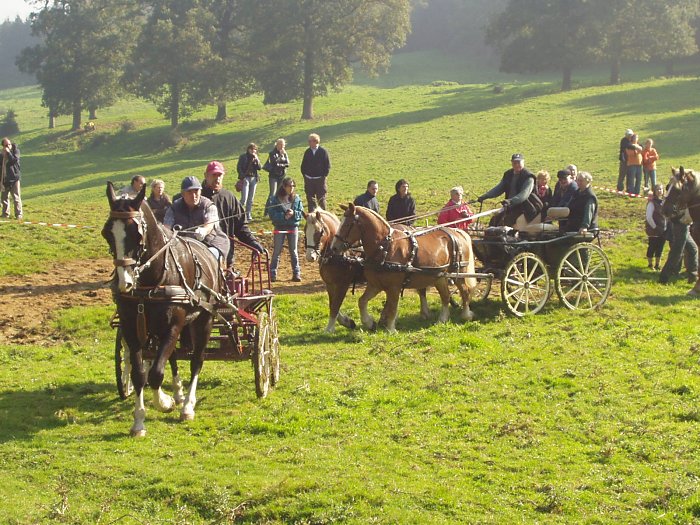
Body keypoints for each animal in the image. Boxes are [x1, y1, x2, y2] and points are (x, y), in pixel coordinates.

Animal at [101, 182, 220, 436]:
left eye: (136, 233)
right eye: (107, 232)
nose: (123, 283)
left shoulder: (173, 325)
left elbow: (156, 373)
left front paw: (165, 403)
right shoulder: (132, 328)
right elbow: (139, 373)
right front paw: (138, 421)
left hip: (203, 319)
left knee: (197, 360)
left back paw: (187, 405)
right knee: (171, 356)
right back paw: (178, 391)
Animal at [330, 204, 478, 332]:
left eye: (347, 225)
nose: (334, 247)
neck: (386, 247)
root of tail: (457, 232)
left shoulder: (394, 287)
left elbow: (393, 307)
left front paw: (390, 329)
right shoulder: (375, 284)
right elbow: (362, 301)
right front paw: (369, 322)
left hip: (458, 273)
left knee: (465, 291)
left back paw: (466, 315)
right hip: (439, 276)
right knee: (446, 296)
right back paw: (442, 319)